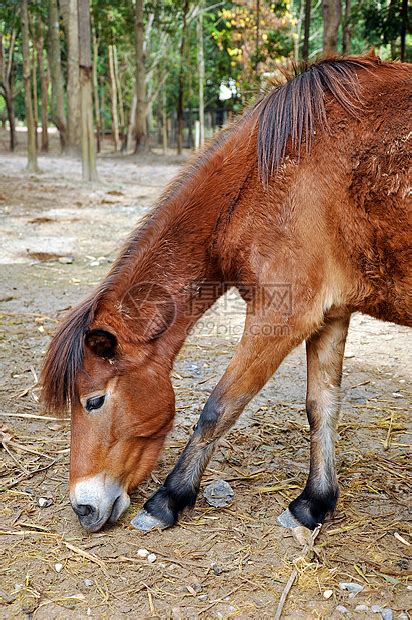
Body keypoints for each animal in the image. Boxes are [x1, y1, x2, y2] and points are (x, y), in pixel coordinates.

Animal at [40, 54, 410, 532]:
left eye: (94, 401)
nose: (83, 509)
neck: (268, 172)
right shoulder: (331, 314)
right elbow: (321, 406)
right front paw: (313, 504)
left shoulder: (281, 315)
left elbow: (219, 407)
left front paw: (168, 499)